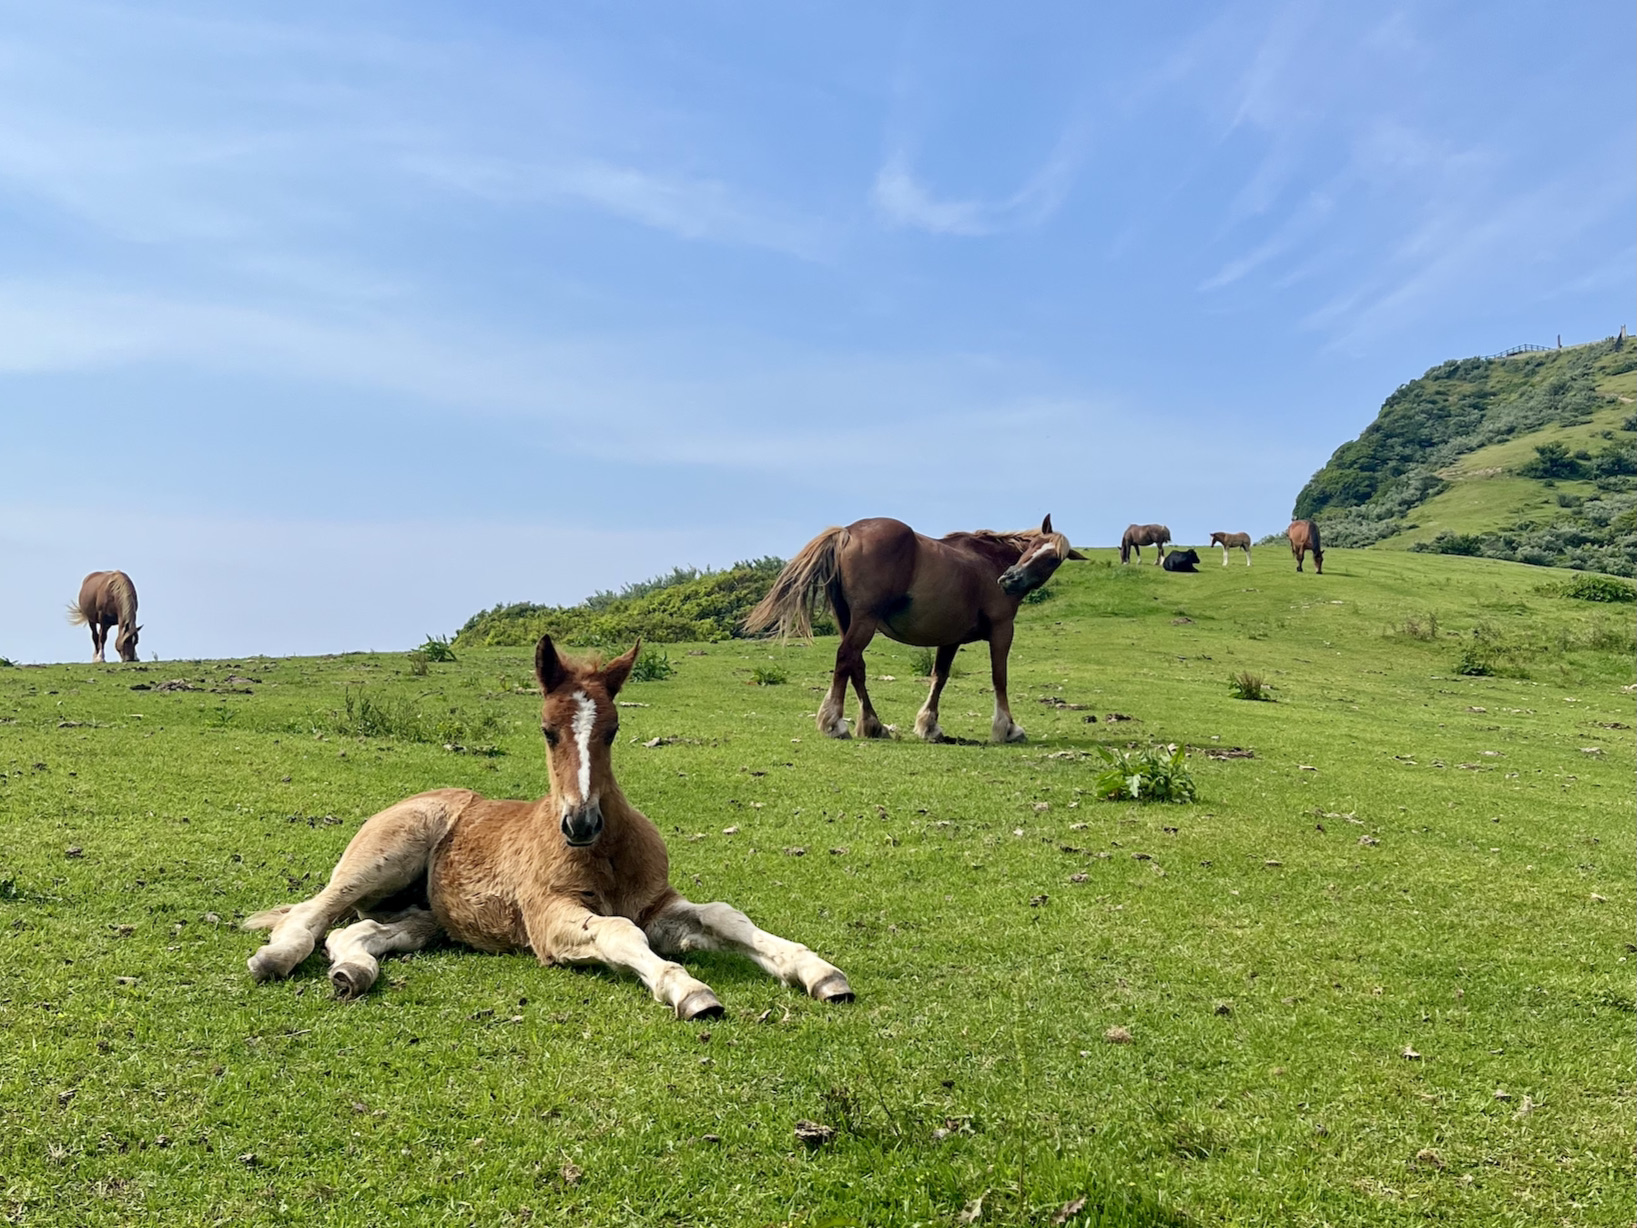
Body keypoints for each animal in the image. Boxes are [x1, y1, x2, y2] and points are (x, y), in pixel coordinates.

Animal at [245, 635, 857, 1021]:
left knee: (356, 933)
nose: (580, 824)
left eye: (612, 729)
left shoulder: (658, 906)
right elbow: (619, 934)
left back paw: (352, 972)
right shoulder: (548, 918)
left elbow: (725, 917)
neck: (606, 853)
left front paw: (819, 972)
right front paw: (689, 990)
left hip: (426, 915)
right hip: (384, 857)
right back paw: (274, 959)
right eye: (546, 730)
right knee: (313, 912)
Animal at [746, 517, 1086, 746]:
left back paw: (873, 725)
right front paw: (1007, 728)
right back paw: (835, 724)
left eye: (1052, 558)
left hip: (849, 621)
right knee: (845, 659)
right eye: (1033, 548)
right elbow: (998, 678)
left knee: (856, 666)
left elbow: (939, 678)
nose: (1009, 579)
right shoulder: (1002, 631)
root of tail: (848, 531)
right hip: (865, 620)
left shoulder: (950, 639)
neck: (987, 561)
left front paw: (929, 726)